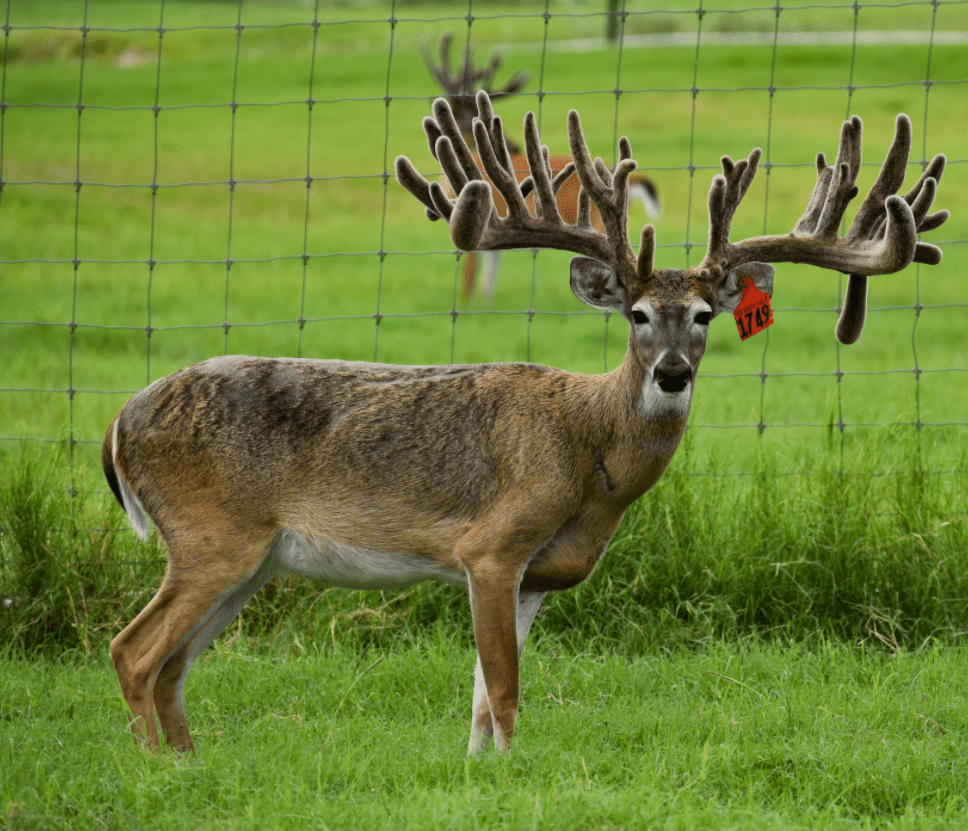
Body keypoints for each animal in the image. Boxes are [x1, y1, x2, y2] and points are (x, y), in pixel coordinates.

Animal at [104, 89, 947, 755]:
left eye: (706, 314)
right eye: (638, 314)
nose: (674, 372)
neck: (590, 453)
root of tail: (119, 423)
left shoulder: (539, 574)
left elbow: (481, 701)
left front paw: (483, 774)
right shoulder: (491, 545)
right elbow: (504, 691)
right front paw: (510, 773)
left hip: (253, 559)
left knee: (172, 664)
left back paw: (188, 761)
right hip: (211, 534)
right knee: (134, 650)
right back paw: (157, 768)